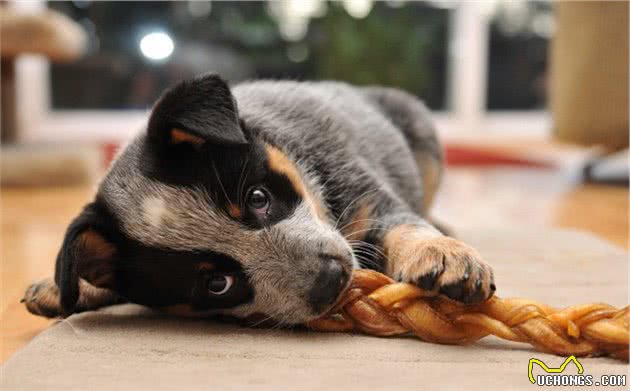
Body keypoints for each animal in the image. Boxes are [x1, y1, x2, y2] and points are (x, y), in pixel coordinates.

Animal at [23, 73, 498, 324]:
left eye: (257, 197)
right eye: (217, 284)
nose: (331, 277)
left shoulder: (369, 197)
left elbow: (405, 224)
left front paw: (443, 253)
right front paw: (65, 286)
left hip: (423, 139)